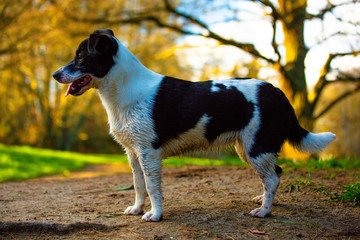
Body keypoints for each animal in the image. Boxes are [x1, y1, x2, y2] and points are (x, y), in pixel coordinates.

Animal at [52, 29, 336, 221]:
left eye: (81, 57)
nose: (55, 74)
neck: (125, 91)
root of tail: (278, 93)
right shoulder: (133, 153)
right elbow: (139, 185)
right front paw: (137, 209)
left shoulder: (149, 153)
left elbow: (153, 187)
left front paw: (155, 215)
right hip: (247, 149)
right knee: (274, 174)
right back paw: (261, 198)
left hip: (257, 147)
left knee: (274, 178)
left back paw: (263, 210)